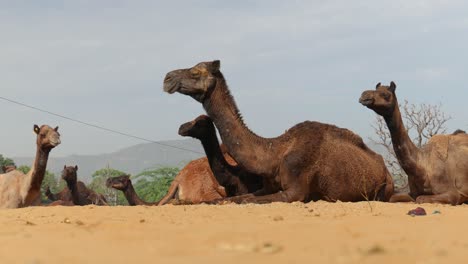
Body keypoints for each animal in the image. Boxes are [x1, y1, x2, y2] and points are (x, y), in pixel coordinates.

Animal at [163, 60, 394, 203]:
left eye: (195, 72)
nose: (167, 78)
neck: (275, 152)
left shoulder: (294, 191)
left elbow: (239, 201)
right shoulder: (264, 188)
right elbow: (228, 200)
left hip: (386, 188)